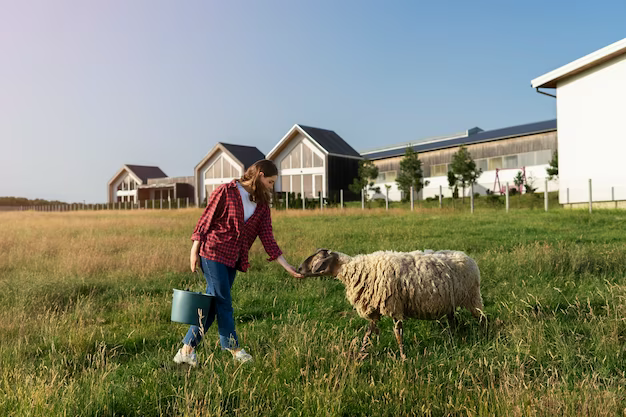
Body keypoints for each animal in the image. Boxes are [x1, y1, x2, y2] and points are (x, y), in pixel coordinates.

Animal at [298, 247, 482, 358]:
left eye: (317, 258)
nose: (298, 269)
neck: (354, 269)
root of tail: (466, 257)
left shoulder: (394, 305)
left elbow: (397, 332)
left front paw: (403, 357)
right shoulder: (374, 309)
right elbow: (368, 332)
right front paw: (361, 354)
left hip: (472, 297)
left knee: (481, 318)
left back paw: (484, 335)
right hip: (451, 302)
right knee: (453, 321)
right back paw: (453, 339)